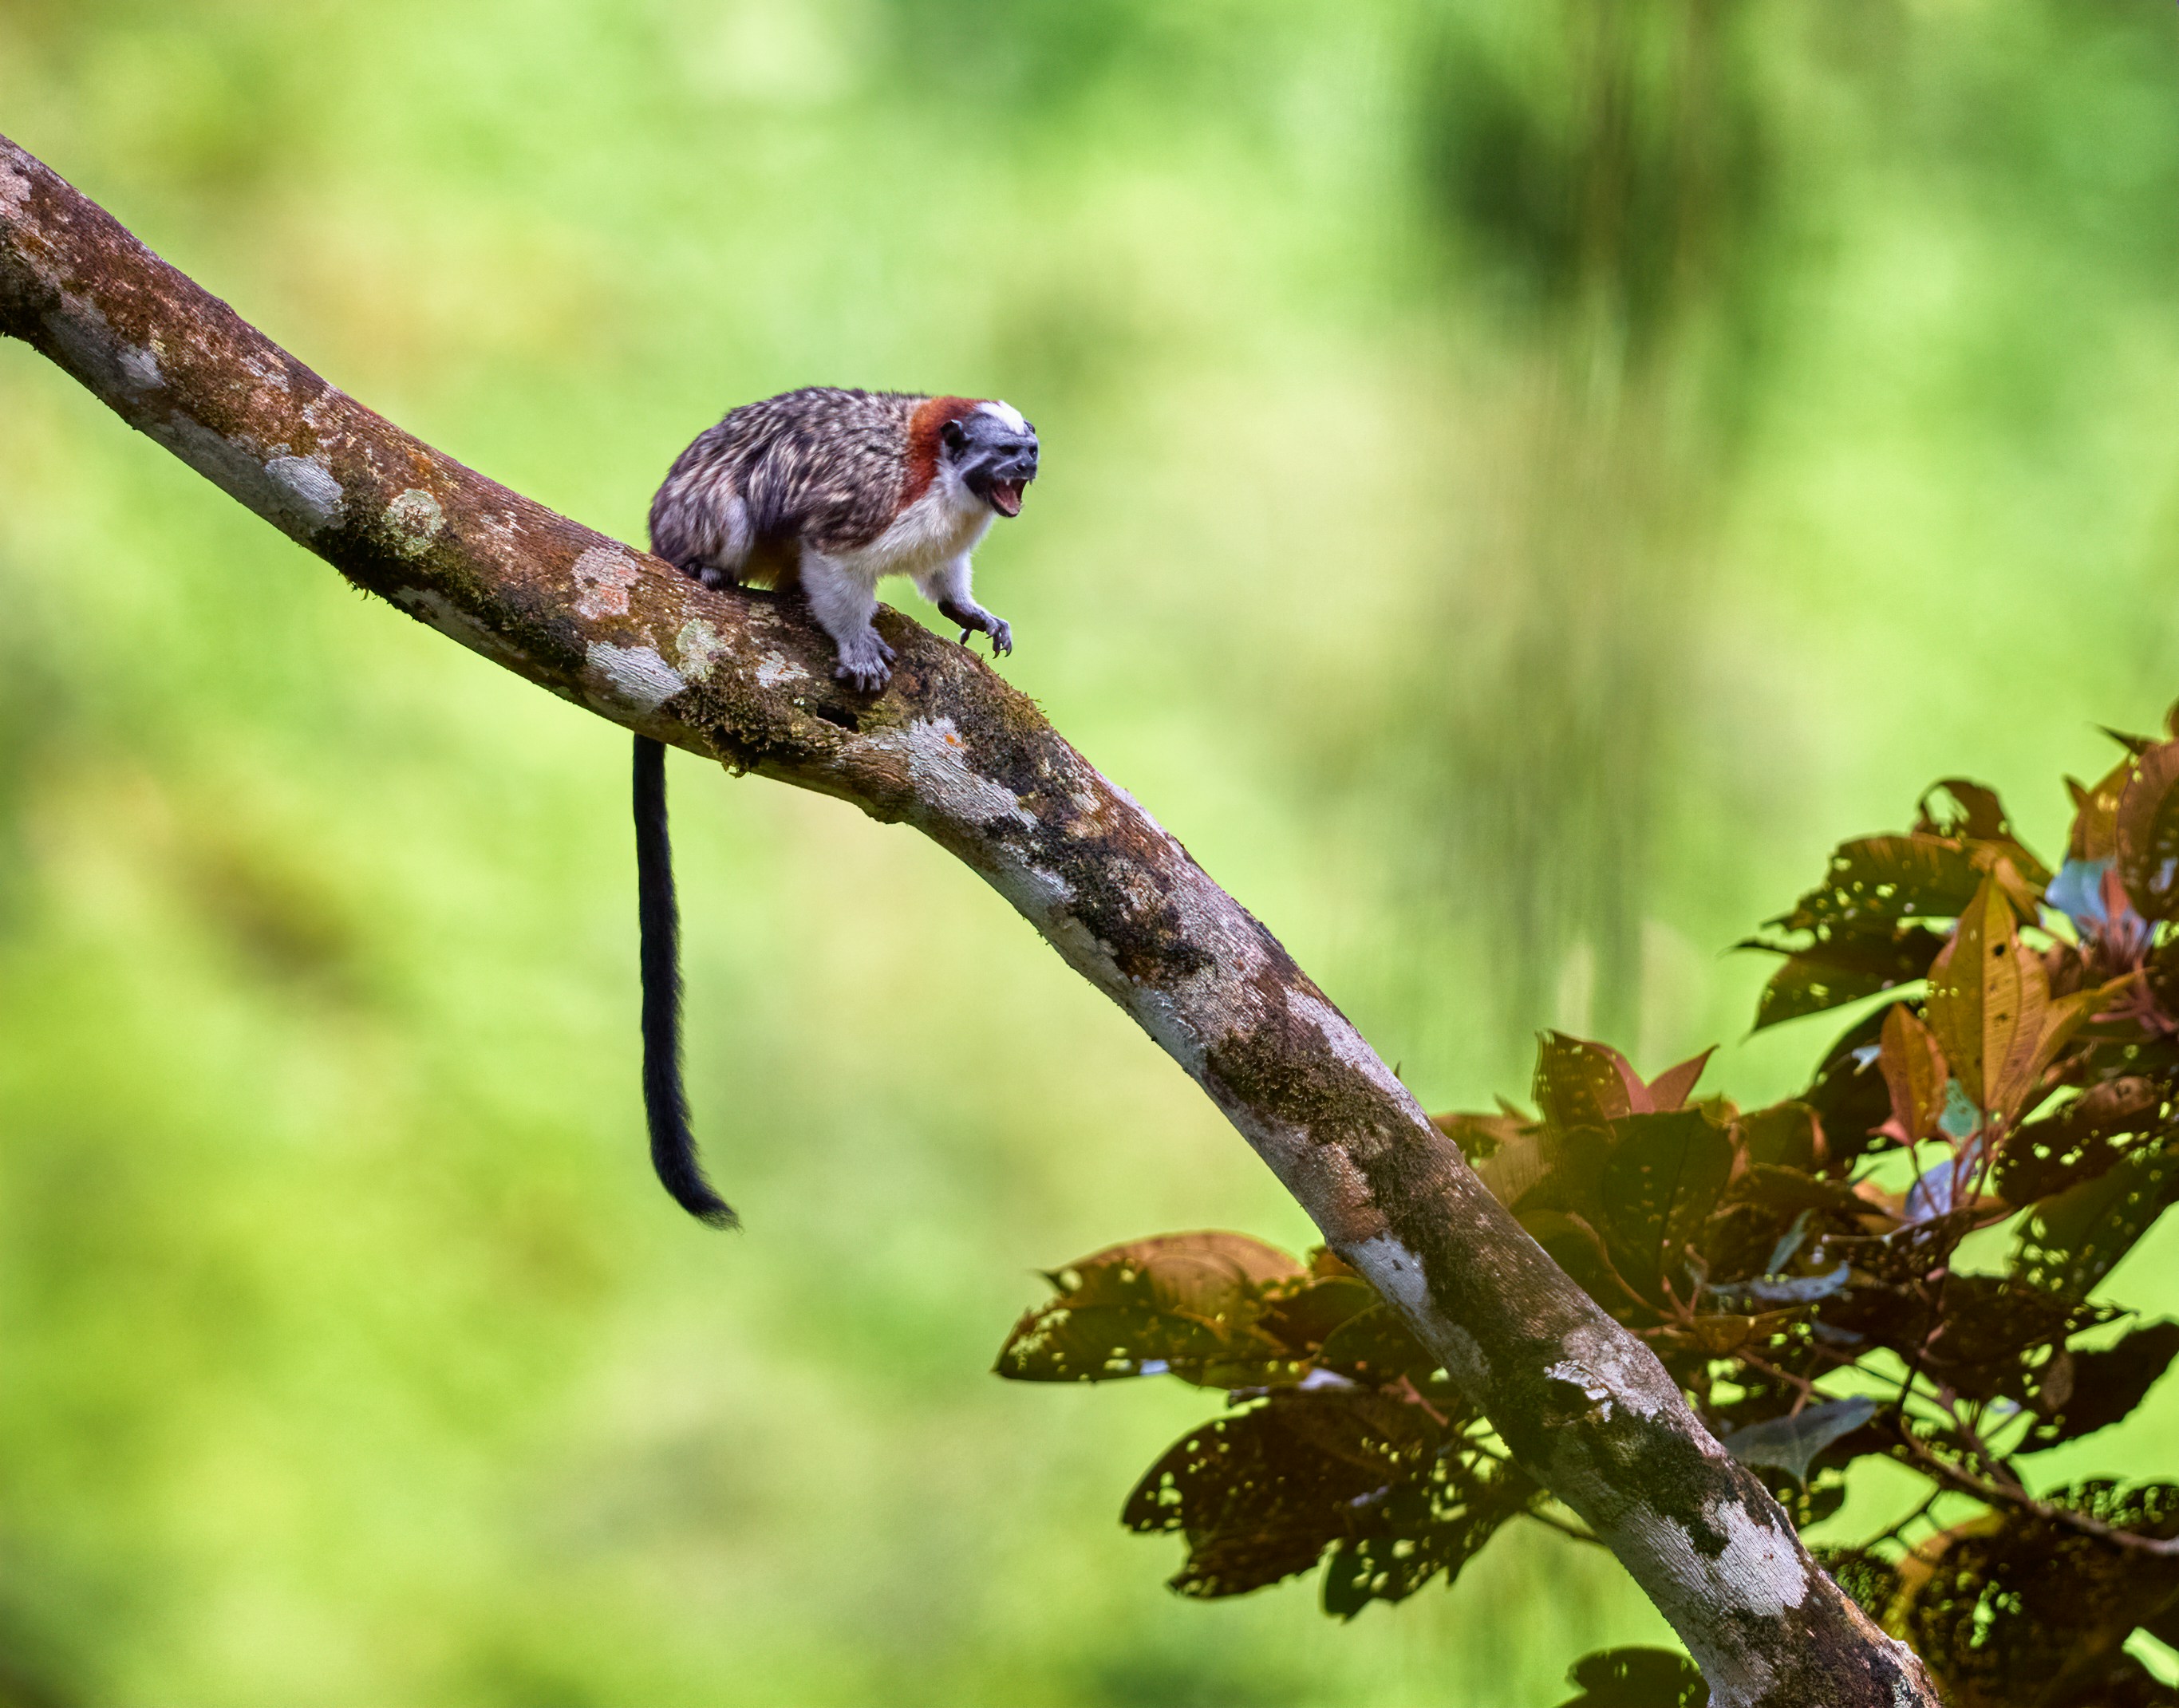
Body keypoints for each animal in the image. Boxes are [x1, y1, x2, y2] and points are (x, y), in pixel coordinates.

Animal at [629, 388, 1041, 1226]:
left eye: (1030, 446)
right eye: (1006, 451)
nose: (1032, 464)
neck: (942, 482)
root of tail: (657, 531)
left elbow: (944, 583)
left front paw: (972, 613)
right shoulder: (868, 505)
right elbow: (832, 564)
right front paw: (855, 646)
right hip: (700, 516)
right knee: (734, 509)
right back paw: (709, 568)